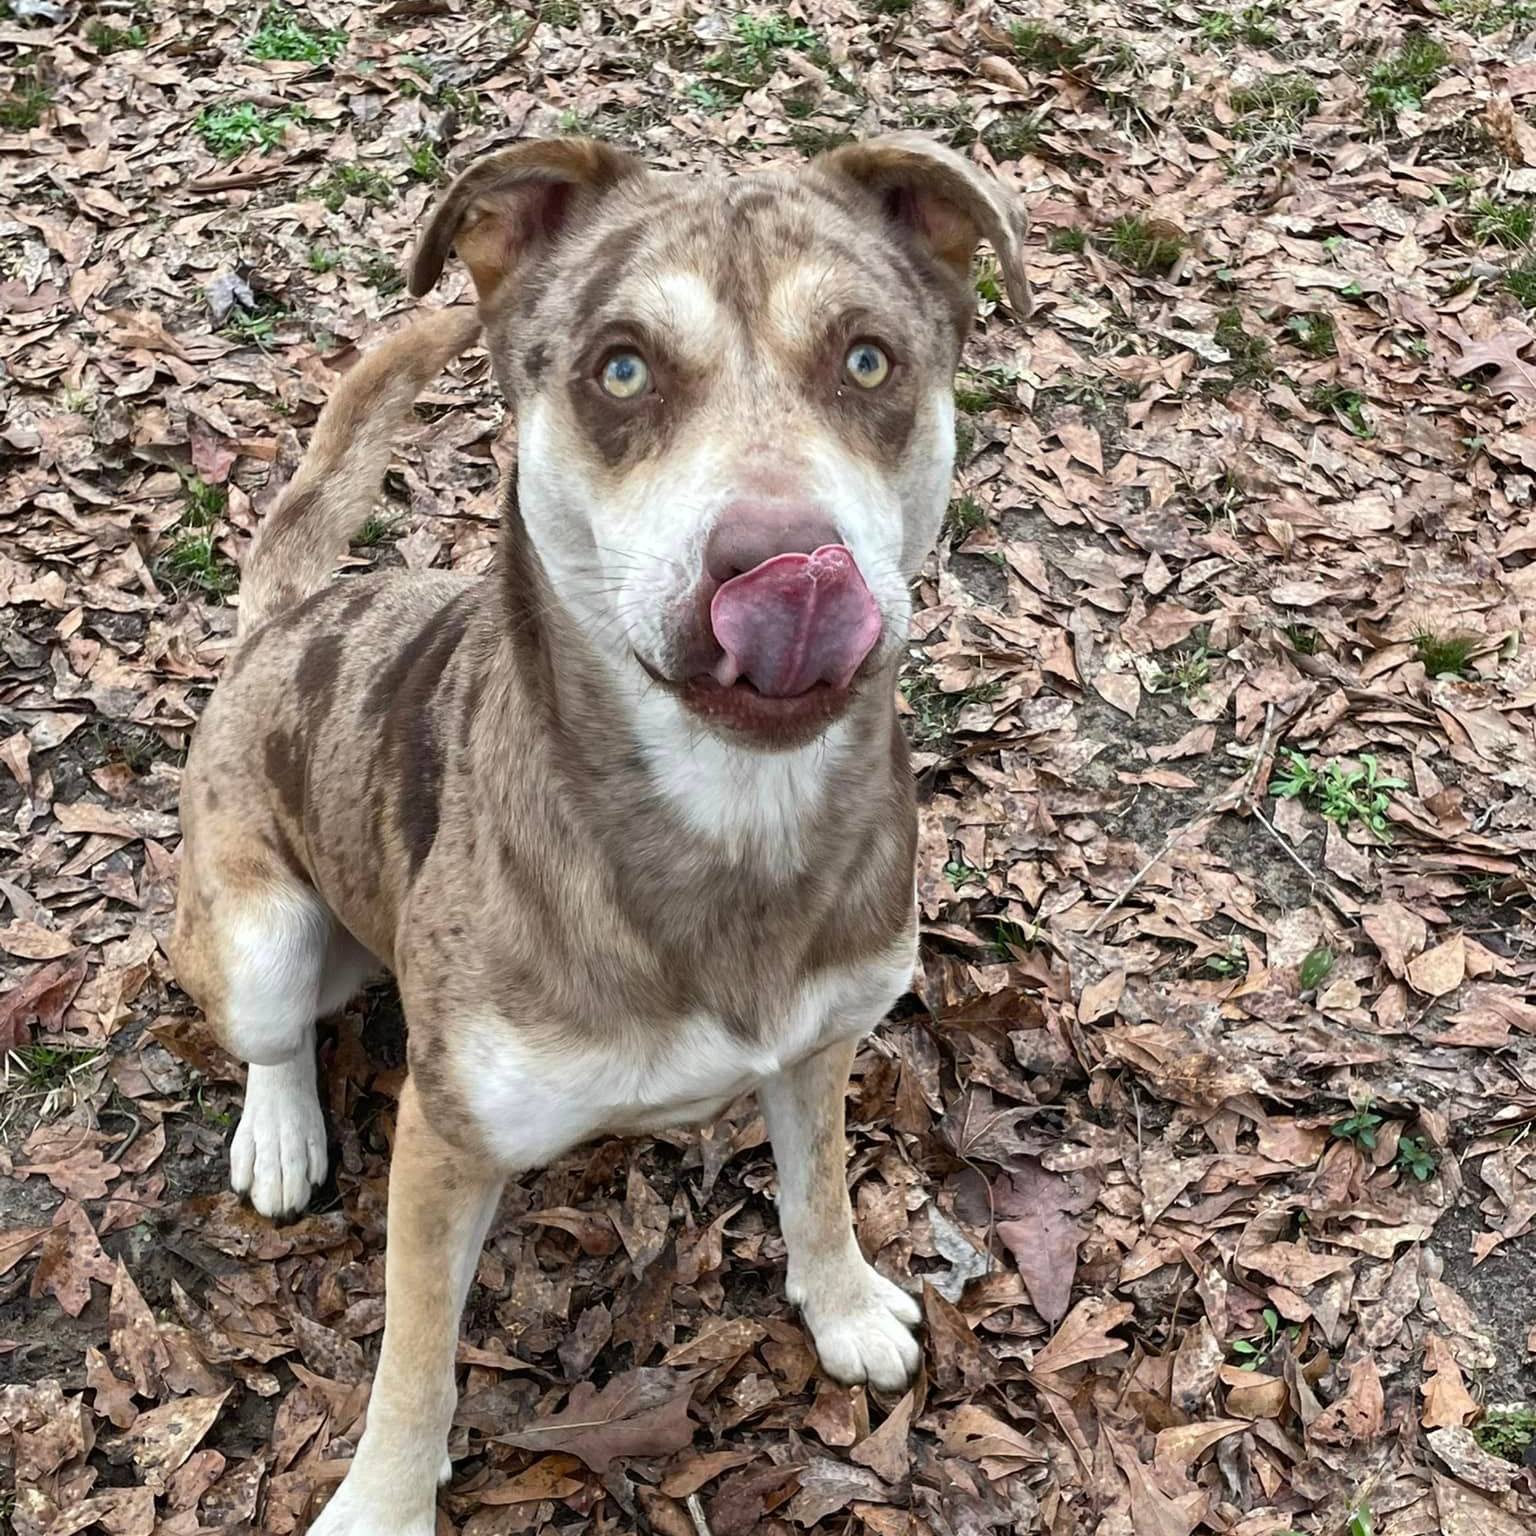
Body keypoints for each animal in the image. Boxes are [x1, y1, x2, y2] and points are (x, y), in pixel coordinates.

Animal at [171, 135, 1032, 1536]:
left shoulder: (822, 1042)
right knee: (272, 1031)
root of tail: (279, 619)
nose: (785, 565)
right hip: (253, 931)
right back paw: (281, 1132)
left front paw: (845, 1306)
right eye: (620, 369)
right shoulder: (447, 1142)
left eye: (868, 360)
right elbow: (414, 1357)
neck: (729, 813)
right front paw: (385, 1500)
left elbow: (821, 1187)